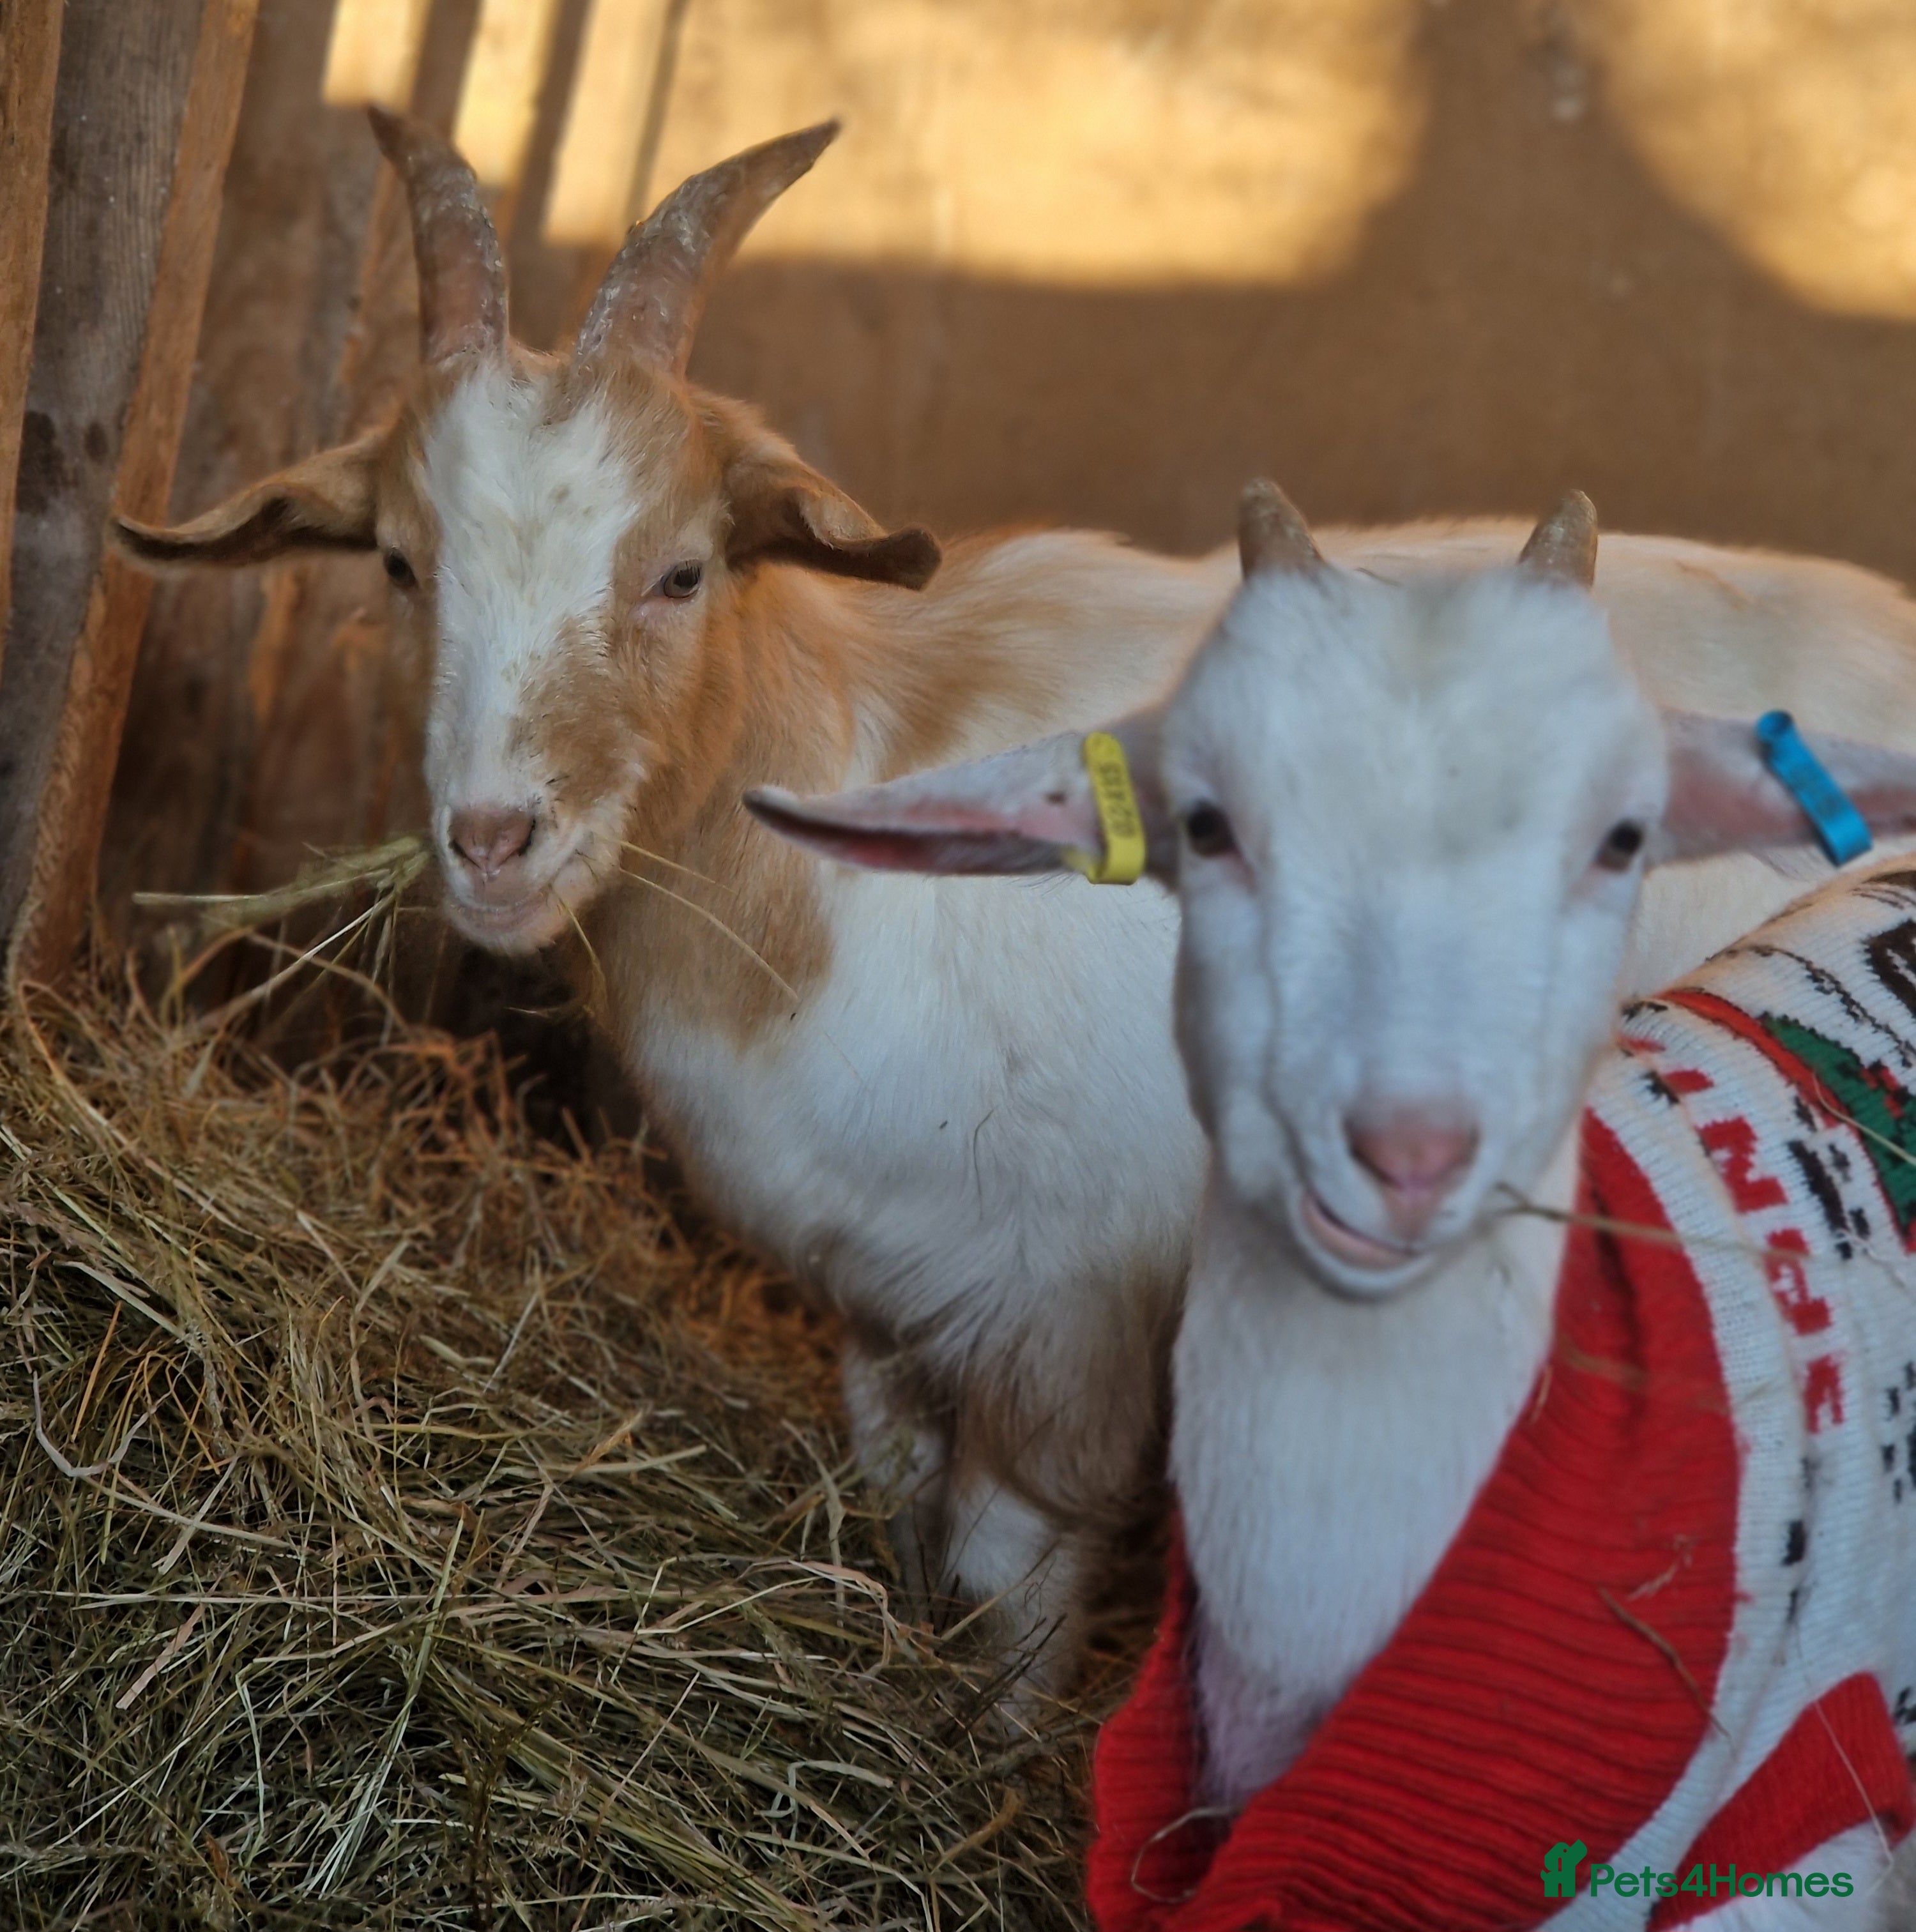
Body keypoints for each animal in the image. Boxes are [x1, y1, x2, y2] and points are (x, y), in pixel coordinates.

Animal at [117, 110, 1916, 1703]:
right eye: (401, 565)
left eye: (683, 568)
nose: (494, 838)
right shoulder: (882, 1298)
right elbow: (895, 1496)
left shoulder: (1074, 1325)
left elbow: (1008, 1580)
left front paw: (981, 1759)